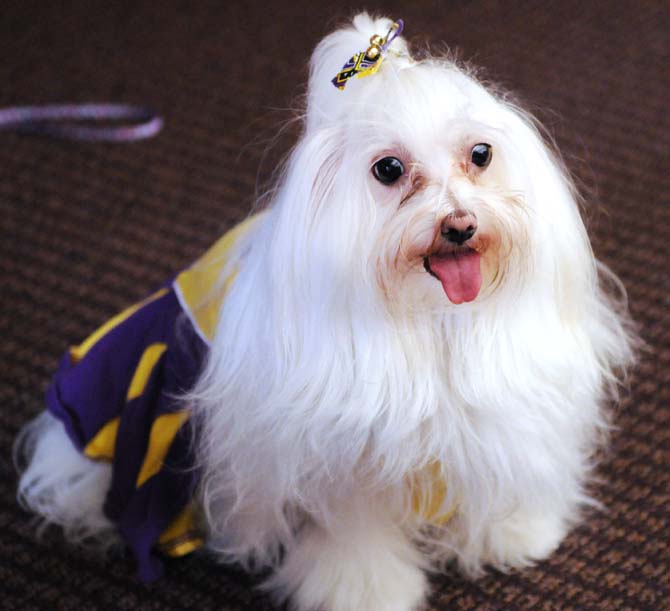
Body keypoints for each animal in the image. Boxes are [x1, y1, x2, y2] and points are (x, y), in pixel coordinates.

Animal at [14, 14, 636, 611]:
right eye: (388, 170)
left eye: (480, 155)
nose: (459, 224)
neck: (427, 316)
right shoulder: (343, 456)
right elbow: (355, 534)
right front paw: (364, 593)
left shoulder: (497, 412)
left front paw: (515, 535)